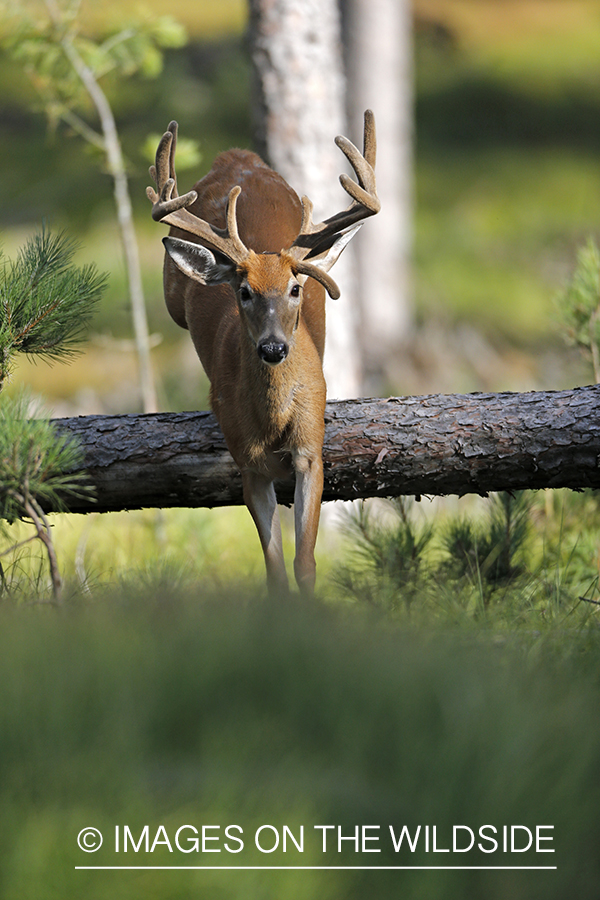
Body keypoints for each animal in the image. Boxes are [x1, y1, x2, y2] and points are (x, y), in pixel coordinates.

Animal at [147, 110, 378, 596]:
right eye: (244, 291)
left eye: (295, 289)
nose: (273, 347)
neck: (274, 419)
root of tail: (238, 157)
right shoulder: (247, 462)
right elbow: (273, 569)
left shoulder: (311, 447)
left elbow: (304, 561)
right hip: (172, 298)